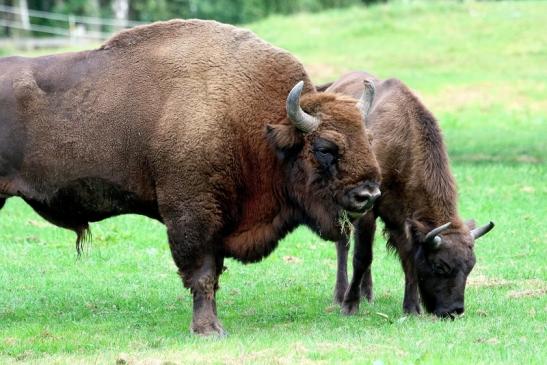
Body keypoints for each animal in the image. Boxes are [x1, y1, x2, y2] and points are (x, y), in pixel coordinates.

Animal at [0, 21, 382, 334]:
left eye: (368, 138)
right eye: (325, 147)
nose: (368, 194)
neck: (253, 124)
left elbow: (213, 273)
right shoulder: (192, 215)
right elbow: (202, 274)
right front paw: (208, 329)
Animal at [322, 70, 496, 316]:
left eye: (470, 266)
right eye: (440, 266)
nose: (454, 310)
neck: (402, 146)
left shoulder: (402, 219)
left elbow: (408, 259)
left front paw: (412, 308)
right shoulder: (368, 211)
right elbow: (362, 256)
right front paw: (349, 306)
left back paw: (368, 294)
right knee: (343, 245)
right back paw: (341, 294)